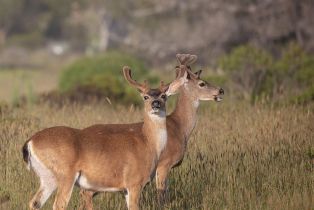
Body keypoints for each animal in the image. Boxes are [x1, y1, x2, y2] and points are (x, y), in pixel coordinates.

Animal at [22, 65, 189, 209]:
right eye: (145, 97)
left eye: (164, 96)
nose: (156, 104)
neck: (149, 144)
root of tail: (30, 142)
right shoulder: (134, 182)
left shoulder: (125, 189)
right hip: (65, 175)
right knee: (58, 205)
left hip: (47, 178)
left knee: (34, 202)